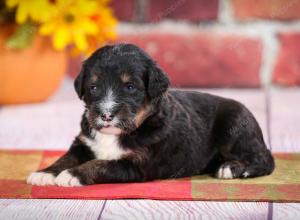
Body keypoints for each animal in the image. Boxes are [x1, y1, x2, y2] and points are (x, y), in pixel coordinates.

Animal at [27, 43, 276, 186]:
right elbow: (66, 157)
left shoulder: (137, 163)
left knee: (264, 160)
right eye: (93, 88)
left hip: (235, 127)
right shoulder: (83, 143)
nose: (106, 115)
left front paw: (72, 175)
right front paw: (45, 173)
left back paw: (232, 168)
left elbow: (100, 164)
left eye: (130, 87)